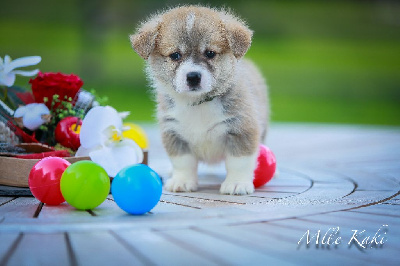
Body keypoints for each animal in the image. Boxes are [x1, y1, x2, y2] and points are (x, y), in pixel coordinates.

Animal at [131, 5, 268, 194]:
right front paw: (182, 181)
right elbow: (183, 162)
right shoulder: (174, 132)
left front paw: (236, 183)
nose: (193, 77)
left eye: (210, 53)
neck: (198, 103)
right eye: (175, 55)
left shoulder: (242, 129)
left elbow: (238, 162)